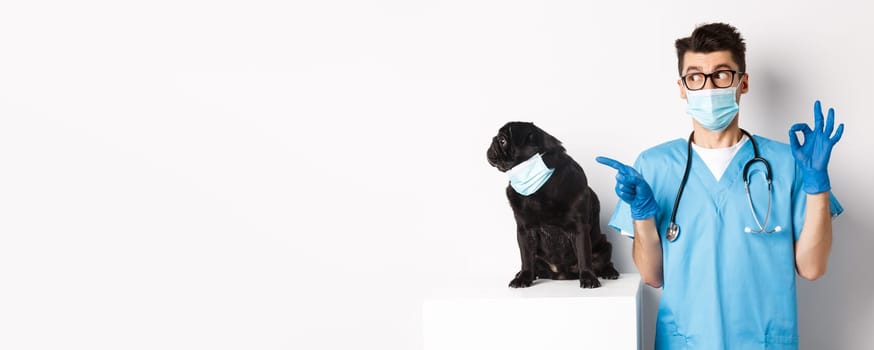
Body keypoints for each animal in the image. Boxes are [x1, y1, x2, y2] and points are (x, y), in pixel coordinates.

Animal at [484, 121, 620, 288]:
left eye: (503, 140)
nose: (493, 141)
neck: (539, 187)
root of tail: (560, 274)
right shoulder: (524, 231)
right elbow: (526, 258)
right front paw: (524, 277)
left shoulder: (579, 228)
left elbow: (584, 256)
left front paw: (588, 278)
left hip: (605, 244)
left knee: (604, 262)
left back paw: (610, 272)